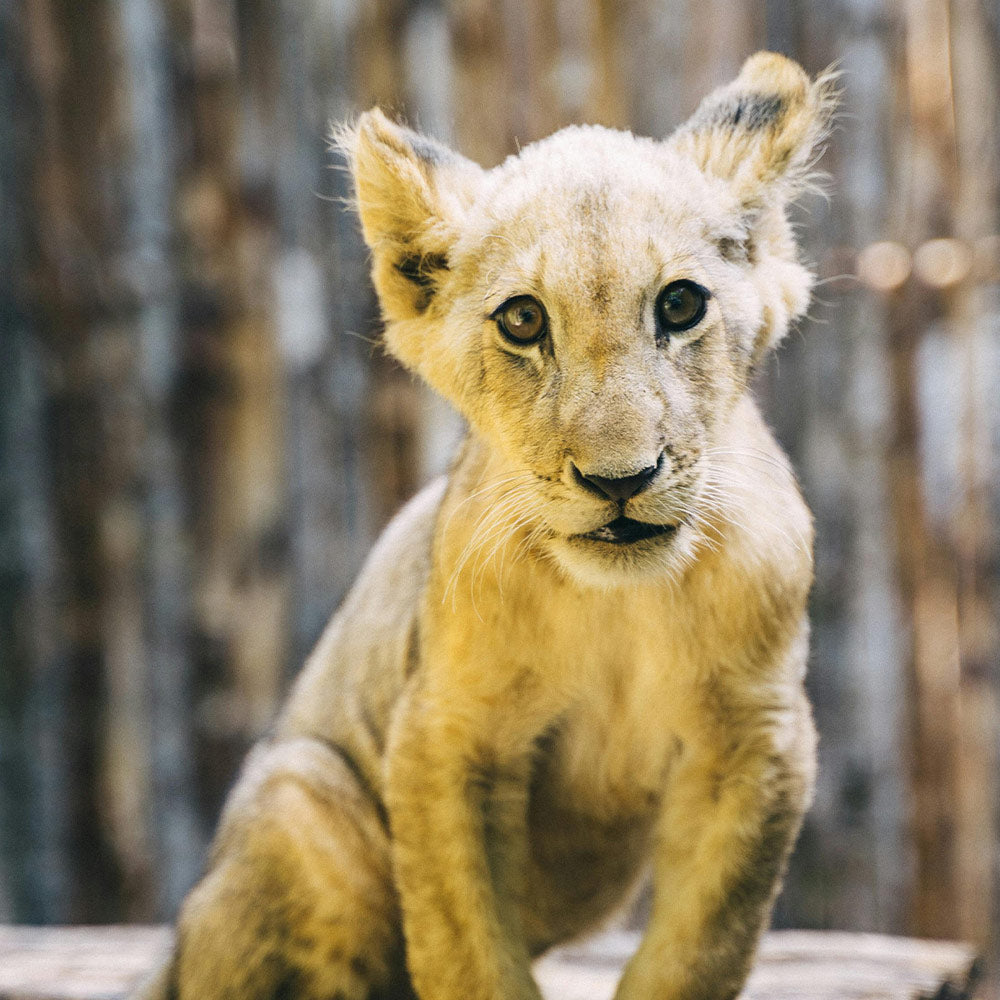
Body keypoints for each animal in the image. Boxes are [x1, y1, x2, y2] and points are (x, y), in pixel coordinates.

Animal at [136, 52, 834, 1000]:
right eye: (524, 320)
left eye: (682, 306)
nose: (620, 480)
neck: (618, 604)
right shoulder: (444, 734)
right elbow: (465, 947)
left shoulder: (758, 745)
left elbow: (700, 949)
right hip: (299, 800)